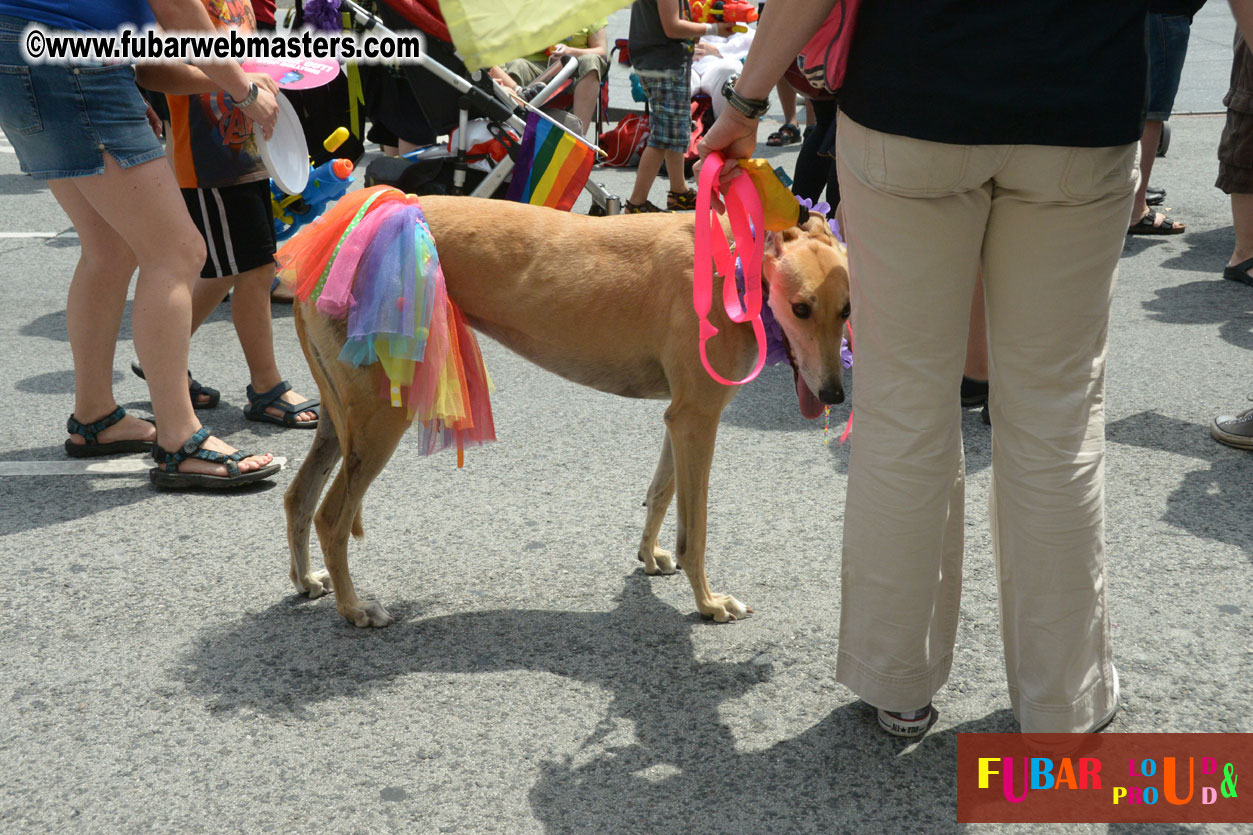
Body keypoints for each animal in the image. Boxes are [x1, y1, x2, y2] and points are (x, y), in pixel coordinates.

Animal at [284, 196, 852, 624]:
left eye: (847, 310)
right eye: (800, 307)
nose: (834, 396)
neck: (735, 262)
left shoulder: (683, 416)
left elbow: (660, 492)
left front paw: (649, 556)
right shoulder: (699, 418)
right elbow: (697, 532)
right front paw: (709, 604)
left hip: (341, 419)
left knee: (298, 497)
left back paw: (308, 580)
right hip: (380, 418)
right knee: (331, 518)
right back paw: (355, 609)